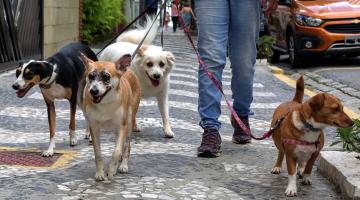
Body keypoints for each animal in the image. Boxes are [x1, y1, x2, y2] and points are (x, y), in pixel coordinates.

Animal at [80, 53, 141, 181]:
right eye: (90, 76)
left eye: (106, 76)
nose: (93, 91)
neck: (105, 104)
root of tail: (127, 70)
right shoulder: (94, 127)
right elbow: (97, 153)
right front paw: (100, 173)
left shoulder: (122, 126)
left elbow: (117, 151)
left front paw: (112, 170)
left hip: (129, 121)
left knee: (126, 145)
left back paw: (123, 165)